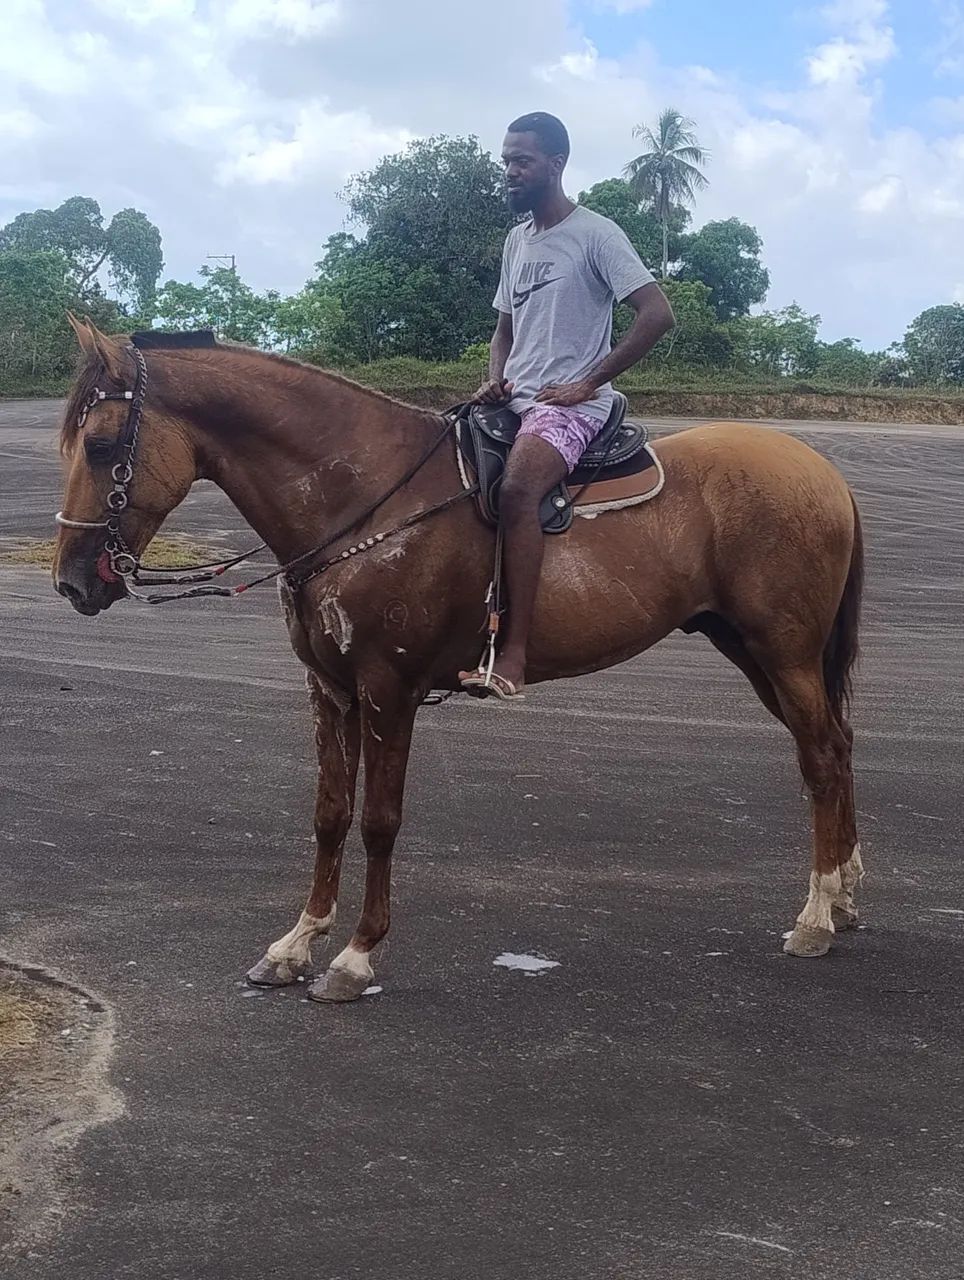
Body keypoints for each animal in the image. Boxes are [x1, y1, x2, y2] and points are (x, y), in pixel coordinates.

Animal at [53, 318, 864, 1003]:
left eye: (101, 446)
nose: (72, 580)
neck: (363, 494)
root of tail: (821, 469)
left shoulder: (389, 690)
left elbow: (379, 820)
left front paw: (355, 957)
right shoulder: (330, 691)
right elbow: (329, 814)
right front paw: (295, 945)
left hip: (783, 652)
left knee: (821, 757)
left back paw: (816, 916)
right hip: (755, 652)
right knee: (840, 745)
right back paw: (846, 895)